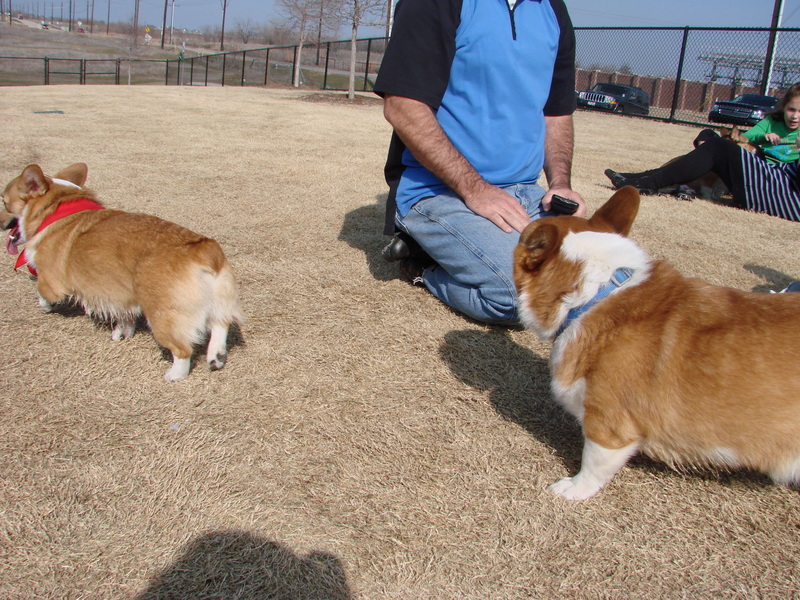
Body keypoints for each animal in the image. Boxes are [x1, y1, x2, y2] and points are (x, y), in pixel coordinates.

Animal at [2, 164, 241, 380]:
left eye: (3, 201)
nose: (1, 224)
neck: (55, 210)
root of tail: (203, 249)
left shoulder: (51, 281)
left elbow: (41, 291)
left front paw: (44, 307)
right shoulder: (120, 294)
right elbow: (124, 317)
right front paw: (121, 332)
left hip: (163, 316)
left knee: (183, 350)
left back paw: (174, 375)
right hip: (219, 298)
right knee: (221, 323)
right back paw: (216, 356)